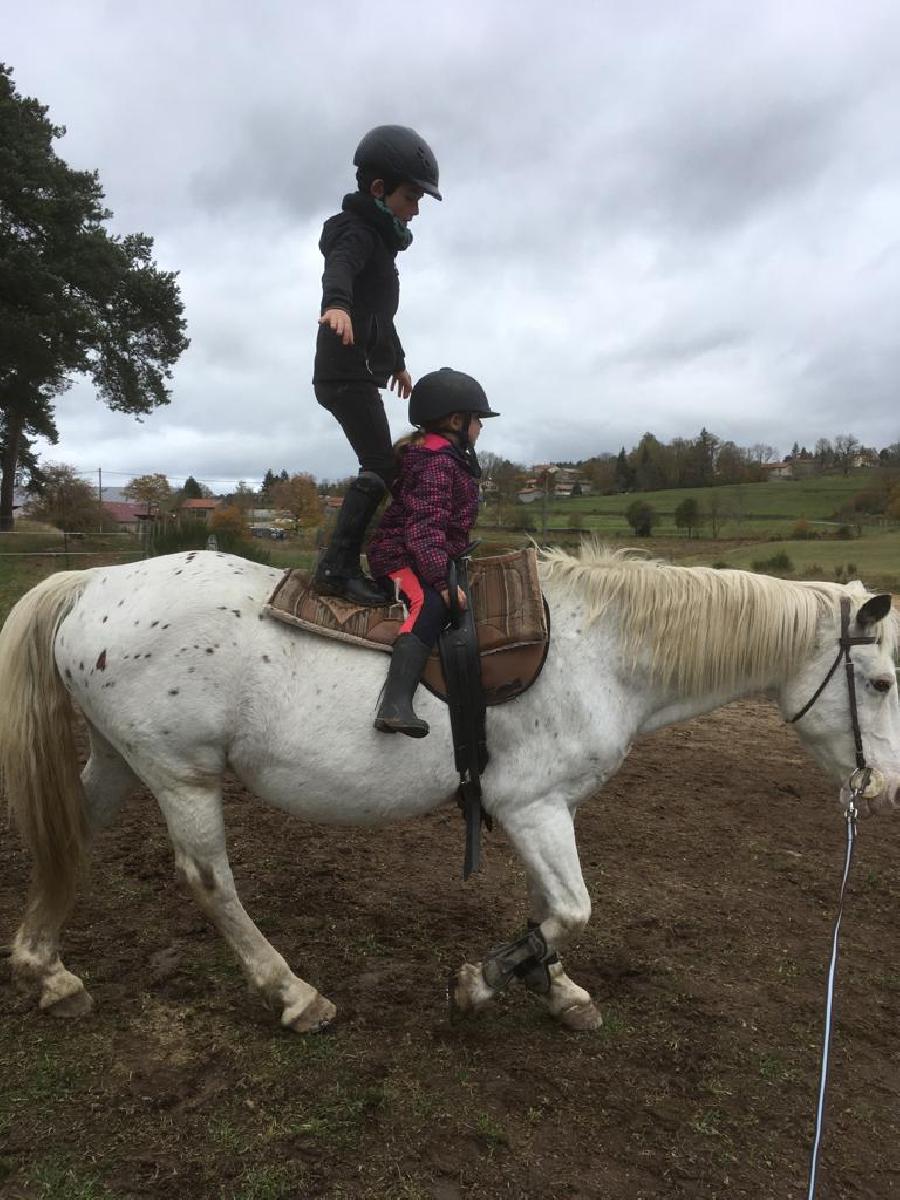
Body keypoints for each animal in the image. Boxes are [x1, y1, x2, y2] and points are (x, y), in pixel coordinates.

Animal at [0, 547, 897, 1032]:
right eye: (883, 681)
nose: (881, 787)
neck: (602, 650)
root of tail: (93, 584)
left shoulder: (543, 810)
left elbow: (549, 908)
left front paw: (556, 988)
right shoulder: (531, 805)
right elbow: (571, 907)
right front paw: (485, 981)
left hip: (120, 761)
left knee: (71, 840)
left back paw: (48, 972)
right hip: (181, 774)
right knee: (209, 880)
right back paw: (292, 993)